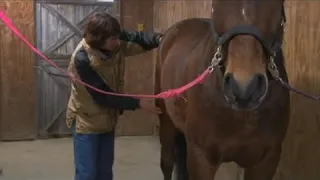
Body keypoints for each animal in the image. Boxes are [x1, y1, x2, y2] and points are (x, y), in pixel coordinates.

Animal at [155, 0, 290, 180]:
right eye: (216, 5)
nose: (244, 88)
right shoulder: (201, 159)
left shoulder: (266, 160)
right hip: (165, 119)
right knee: (167, 163)